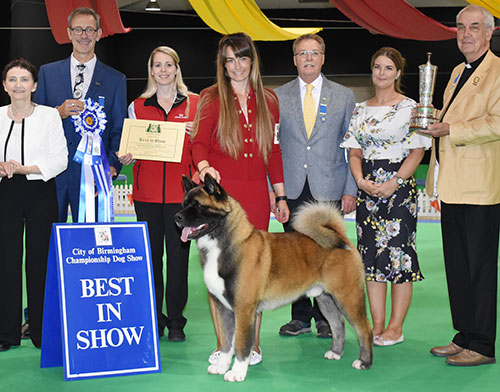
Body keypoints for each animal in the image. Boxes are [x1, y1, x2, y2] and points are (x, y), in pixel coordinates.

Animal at [175, 175, 372, 382]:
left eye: (198, 205)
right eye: (184, 204)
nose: (177, 217)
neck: (225, 245)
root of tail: (340, 237)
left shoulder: (244, 309)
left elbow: (241, 344)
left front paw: (237, 372)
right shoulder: (223, 309)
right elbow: (227, 343)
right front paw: (222, 366)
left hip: (348, 297)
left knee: (364, 329)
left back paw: (364, 362)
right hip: (325, 298)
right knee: (337, 324)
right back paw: (335, 352)